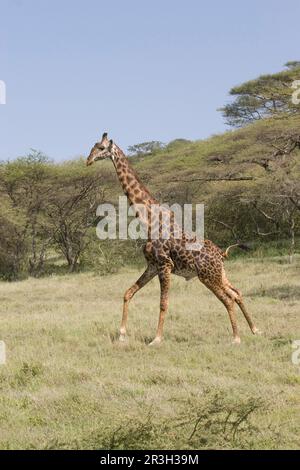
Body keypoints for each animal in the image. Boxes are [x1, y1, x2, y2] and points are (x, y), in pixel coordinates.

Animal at [85, 132, 258, 346]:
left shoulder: (165, 265)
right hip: (220, 274)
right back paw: (254, 329)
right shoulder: (152, 265)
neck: (148, 220)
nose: (88, 160)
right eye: (93, 146)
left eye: (101, 148)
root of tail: (221, 254)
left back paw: (236, 337)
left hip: (208, 276)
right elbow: (128, 293)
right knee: (237, 293)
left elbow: (163, 303)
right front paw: (122, 334)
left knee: (228, 299)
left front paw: (156, 339)